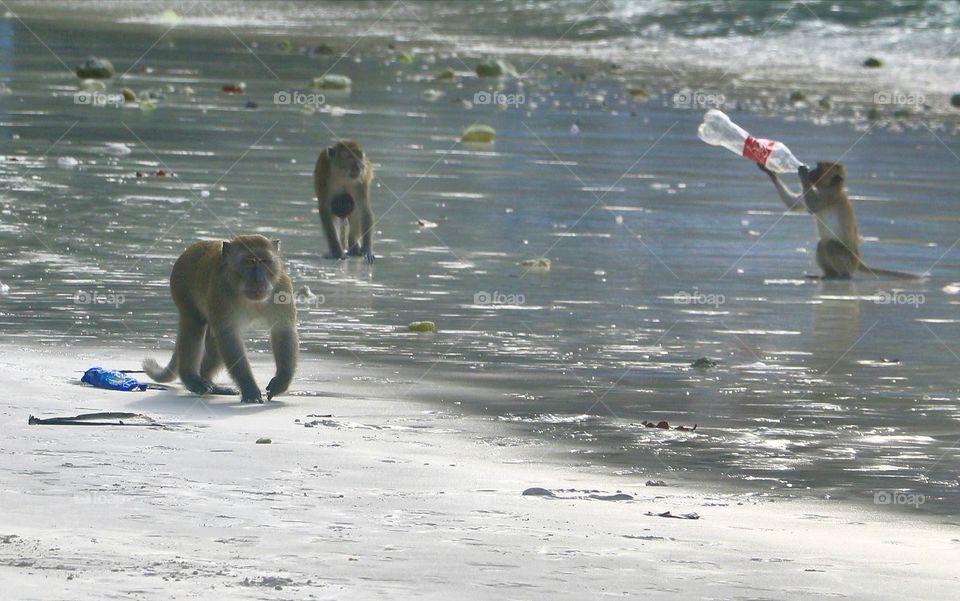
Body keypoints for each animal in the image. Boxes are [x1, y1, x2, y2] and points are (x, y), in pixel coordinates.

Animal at [143, 234, 298, 403]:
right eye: (249, 262)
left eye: (264, 261)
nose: (259, 280)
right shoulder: (220, 290)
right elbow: (228, 336)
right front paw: (249, 388)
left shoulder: (282, 287)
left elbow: (283, 330)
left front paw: (281, 380)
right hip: (180, 285)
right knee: (194, 324)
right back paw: (192, 379)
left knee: (213, 338)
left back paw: (209, 381)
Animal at [760, 162, 922, 280]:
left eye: (818, 168)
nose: (811, 172)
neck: (830, 187)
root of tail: (858, 260)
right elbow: (794, 204)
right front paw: (770, 171)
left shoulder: (829, 196)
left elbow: (812, 207)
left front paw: (803, 175)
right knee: (822, 244)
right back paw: (828, 274)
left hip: (849, 260)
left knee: (830, 245)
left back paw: (843, 275)